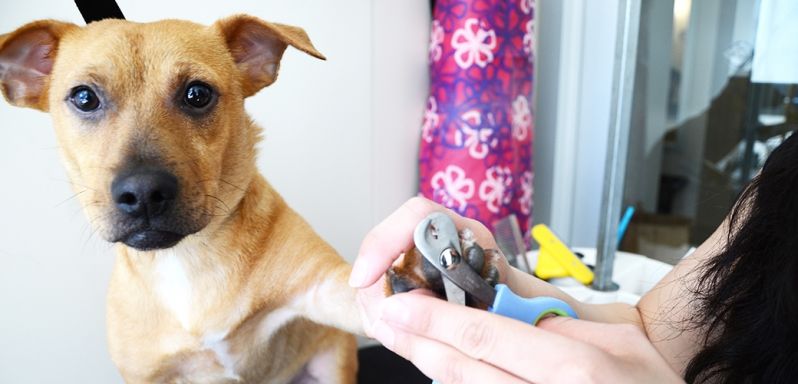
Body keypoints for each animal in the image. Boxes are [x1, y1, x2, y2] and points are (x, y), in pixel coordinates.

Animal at [0, 15, 362, 384]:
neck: (186, 257)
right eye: (84, 97)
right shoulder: (145, 374)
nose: (143, 192)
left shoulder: (324, 286)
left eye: (197, 94)